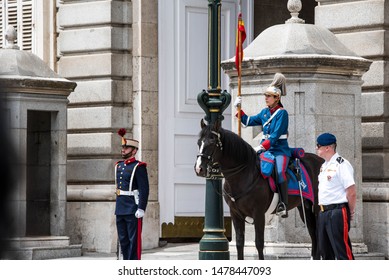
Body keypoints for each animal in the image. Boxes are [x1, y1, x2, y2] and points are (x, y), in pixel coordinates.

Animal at [196, 119, 322, 260]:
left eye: (212, 142)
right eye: (199, 142)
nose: (199, 168)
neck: (244, 175)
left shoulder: (259, 214)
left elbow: (259, 243)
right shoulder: (236, 214)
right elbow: (240, 242)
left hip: (317, 207)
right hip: (305, 207)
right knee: (313, 234)